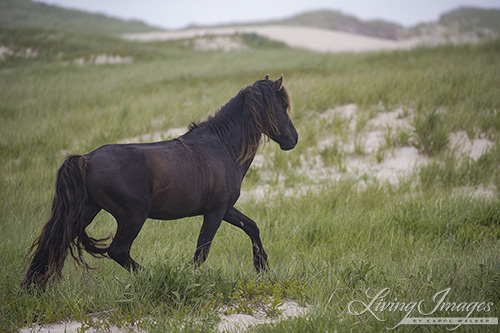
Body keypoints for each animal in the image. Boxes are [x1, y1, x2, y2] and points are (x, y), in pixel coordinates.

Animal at [21, 74, 296, 288]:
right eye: (282, 106)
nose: (293, 139)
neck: (223, 147)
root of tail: (86, 160)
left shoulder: (225, 208)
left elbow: (252, 227)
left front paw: (262, 266)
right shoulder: (215, 212)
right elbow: (201, 252)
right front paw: (190, 279)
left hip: (86, 211)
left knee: (55, 242)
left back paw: (34, 287)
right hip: (132, 217)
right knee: (117, 251)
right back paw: (153, 277)